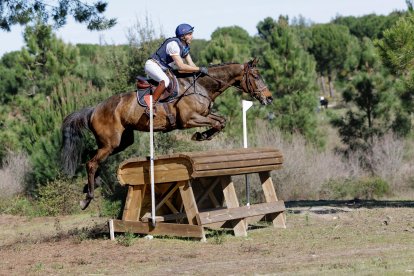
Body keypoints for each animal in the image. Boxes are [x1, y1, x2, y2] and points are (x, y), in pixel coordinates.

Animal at [61, 58, 274, 209]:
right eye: (256, 76)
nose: (269, 98)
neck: (202, 86)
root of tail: (94, 109)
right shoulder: (189, 119)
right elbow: (216, 123)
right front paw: (200, 136)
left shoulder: (204, 114)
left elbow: (221, 122)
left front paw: (203, 136)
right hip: (110, 142)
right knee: (91, 163)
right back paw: (87, 198)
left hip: (121, 142)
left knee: (93, 159)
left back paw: (91, 185)